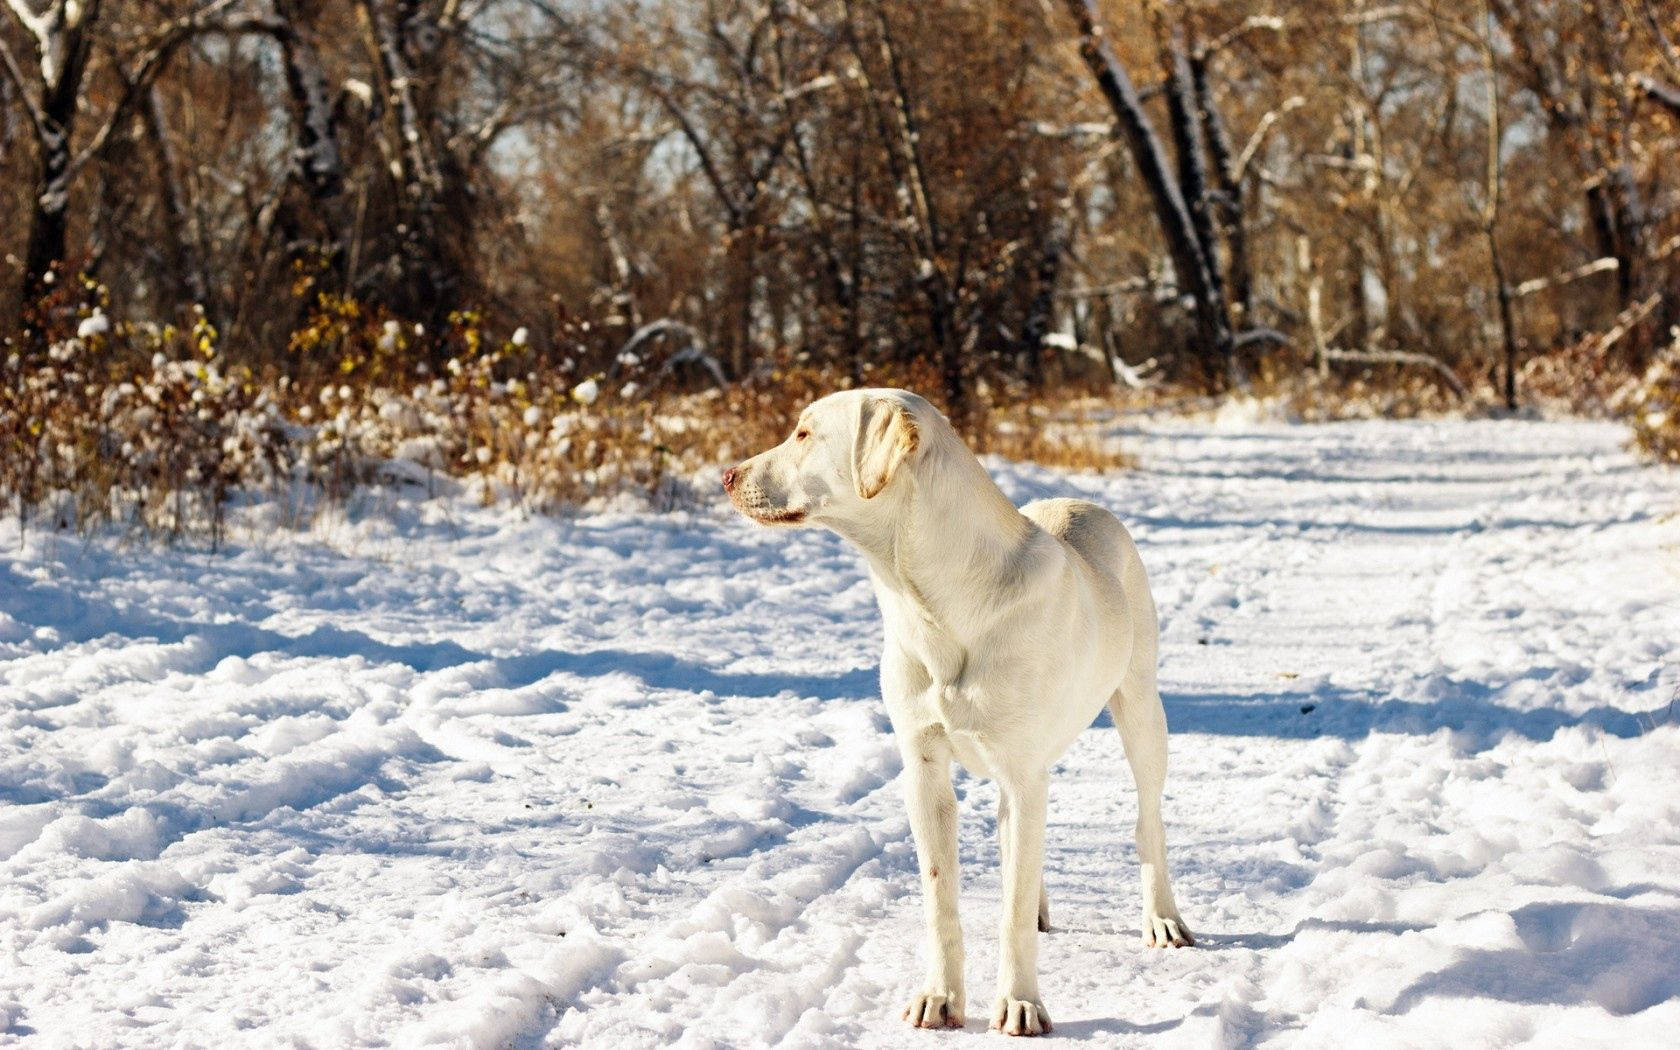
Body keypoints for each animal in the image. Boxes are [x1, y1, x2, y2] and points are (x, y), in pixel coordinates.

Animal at [722, 391, 1196, 1034]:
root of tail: (1079, 501)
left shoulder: (1023, 773)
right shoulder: (926, 772)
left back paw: (1162, 918)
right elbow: (942, 899)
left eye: (803, 433)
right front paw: (940, 997)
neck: (930, 600)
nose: (727, 475)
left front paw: (1021, 1003)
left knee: (1147, 820)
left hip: (1141, 713)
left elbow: (1011, 913)